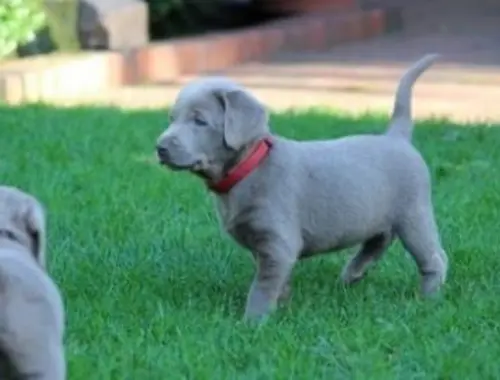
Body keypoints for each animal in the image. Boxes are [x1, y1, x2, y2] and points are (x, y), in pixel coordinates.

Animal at [157, 54, 450, 320]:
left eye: (199, 121)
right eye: (172, 118)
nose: (160, 147)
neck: (250, 168)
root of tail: (396, 137)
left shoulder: (278, 243)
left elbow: (262, 287)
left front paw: (252, 323)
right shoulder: (268, 248)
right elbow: (279, 280)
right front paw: (282, 305)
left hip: (413, 212)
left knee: (434, 257)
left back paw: (427, 298)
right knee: (380, 239)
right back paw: (353, 274)